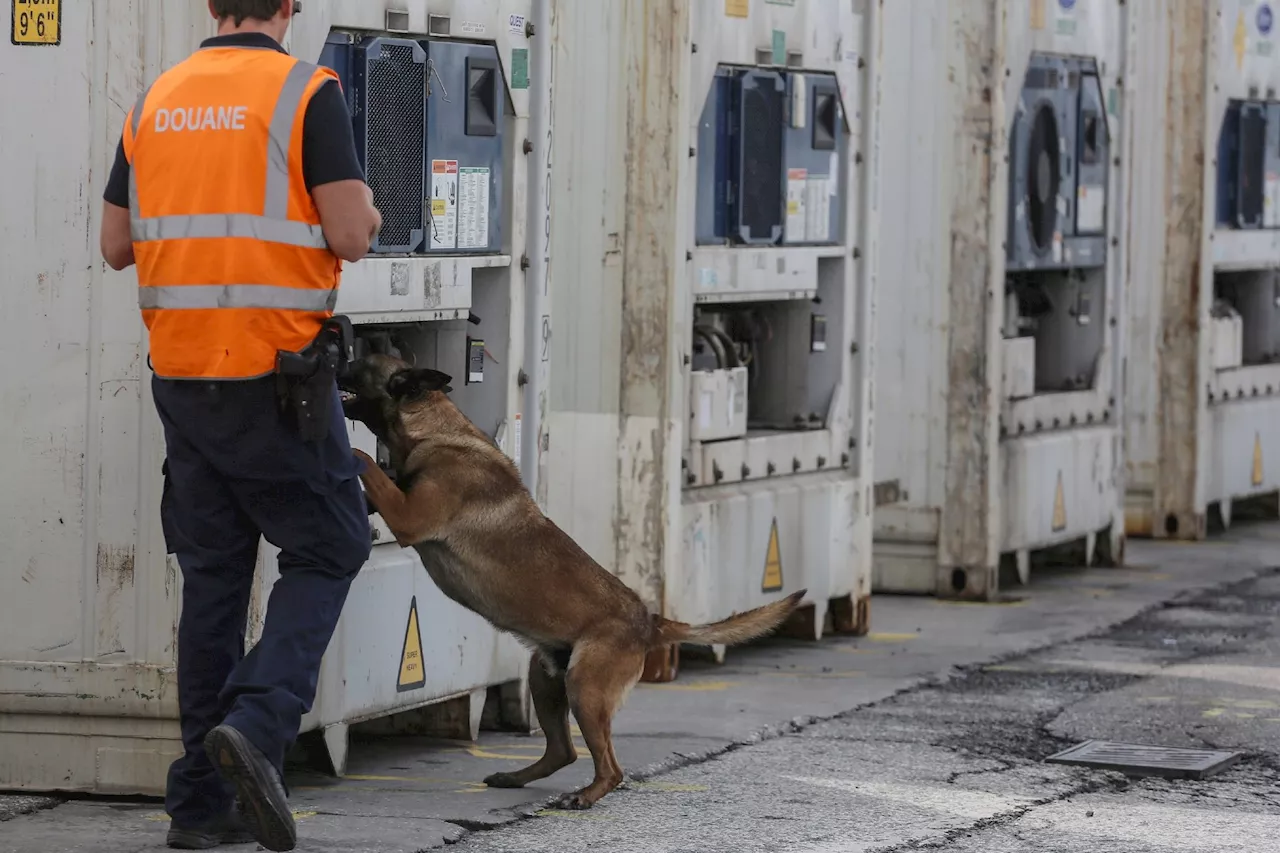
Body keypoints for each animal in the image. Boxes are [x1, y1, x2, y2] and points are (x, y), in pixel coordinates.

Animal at [340, 350, 798, 804]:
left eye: (361, 363)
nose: (333, 360)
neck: (436, 429)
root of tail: (650, 622)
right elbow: (377, 480)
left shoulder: (408, 518)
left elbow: (369, 464)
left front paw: (352, 450)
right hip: (544, 681)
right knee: (563, 750)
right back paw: (516, 777)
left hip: (585, 688)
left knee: (610, 767)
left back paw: (584, 796)